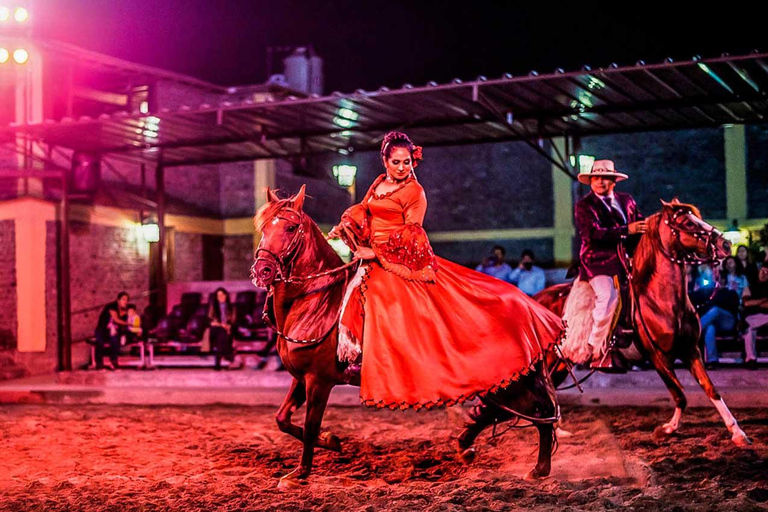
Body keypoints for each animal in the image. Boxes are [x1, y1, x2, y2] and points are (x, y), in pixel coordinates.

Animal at [252, 187, 560, 488]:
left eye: (291, 227)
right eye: (264, 227)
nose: (262, 270)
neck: (318, 302)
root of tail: (532, 307)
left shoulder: (319, 380)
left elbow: (310, 425)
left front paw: (300, 473)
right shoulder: (301, 377)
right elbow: (282, 419)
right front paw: (330, 441)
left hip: (510, 379)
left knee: (539, 411)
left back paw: (538, 469)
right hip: (501, 381)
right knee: (504, 411)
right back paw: (470, 448)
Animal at [536, 198, 752, 446]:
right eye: (688, 222)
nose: (725, 244)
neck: (661, 300)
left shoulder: (691, 351)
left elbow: (711, 389)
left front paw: (737, 433)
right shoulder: (657, 357)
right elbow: (680, 395)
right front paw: (666, 429)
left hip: (562, 363)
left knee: (551, 389)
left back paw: (558, 430)